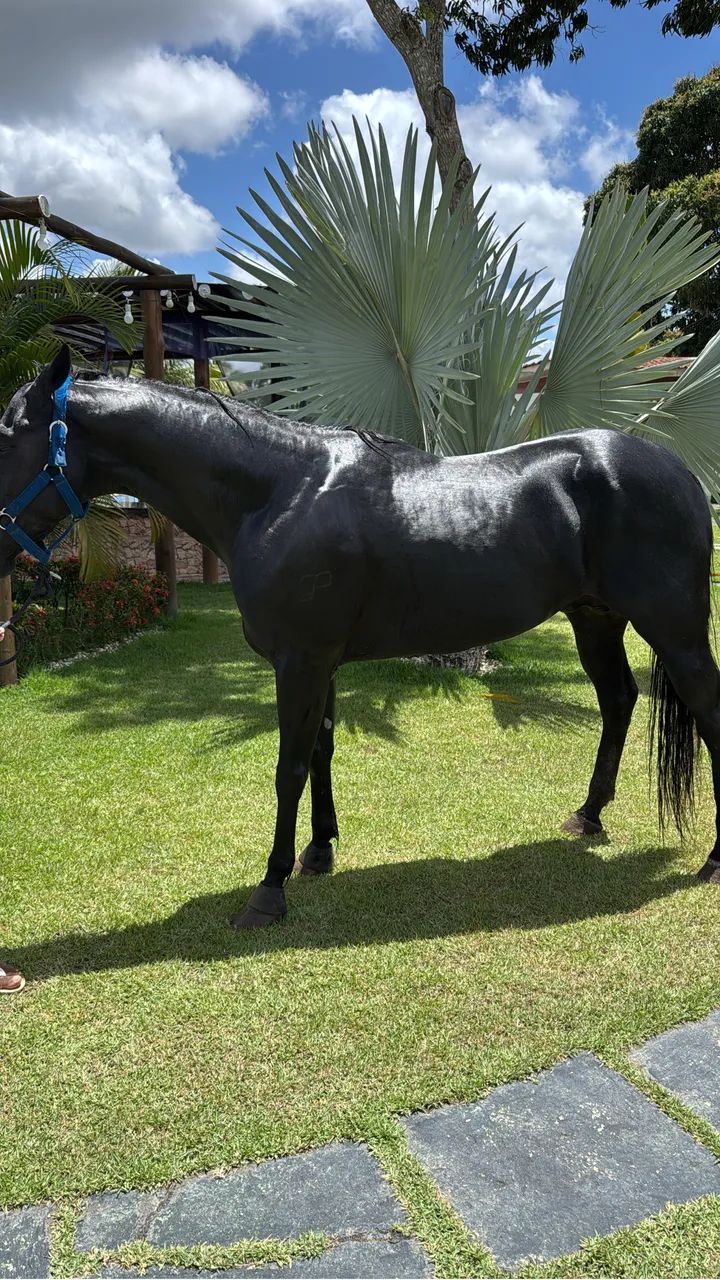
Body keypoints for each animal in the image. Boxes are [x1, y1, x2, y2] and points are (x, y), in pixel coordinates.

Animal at [2, 346, 719, 930]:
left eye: (10, 435)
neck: (279, 493)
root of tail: (679, 472)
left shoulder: (300, 661)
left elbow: (288, 768)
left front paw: (269, 891)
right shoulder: (321, 663)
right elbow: (321, 752)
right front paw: (319, 851)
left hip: (674, 629)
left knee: (704, 712)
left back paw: (711, 860)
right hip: (595, 618)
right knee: (619, 700)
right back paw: (589, 815)